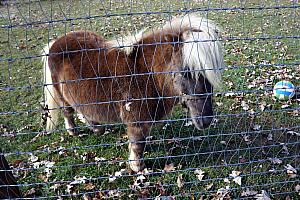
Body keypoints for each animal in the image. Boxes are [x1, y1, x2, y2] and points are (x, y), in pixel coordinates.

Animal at [42, 14, 225, 172]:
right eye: (185, 73)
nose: (205, 120)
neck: (146, 75)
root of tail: (55, 42)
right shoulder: (136, 121)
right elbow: (138, 144)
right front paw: (138, 166)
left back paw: (97, 128)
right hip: (61, 95)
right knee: (68, 112)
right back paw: (73, 131)